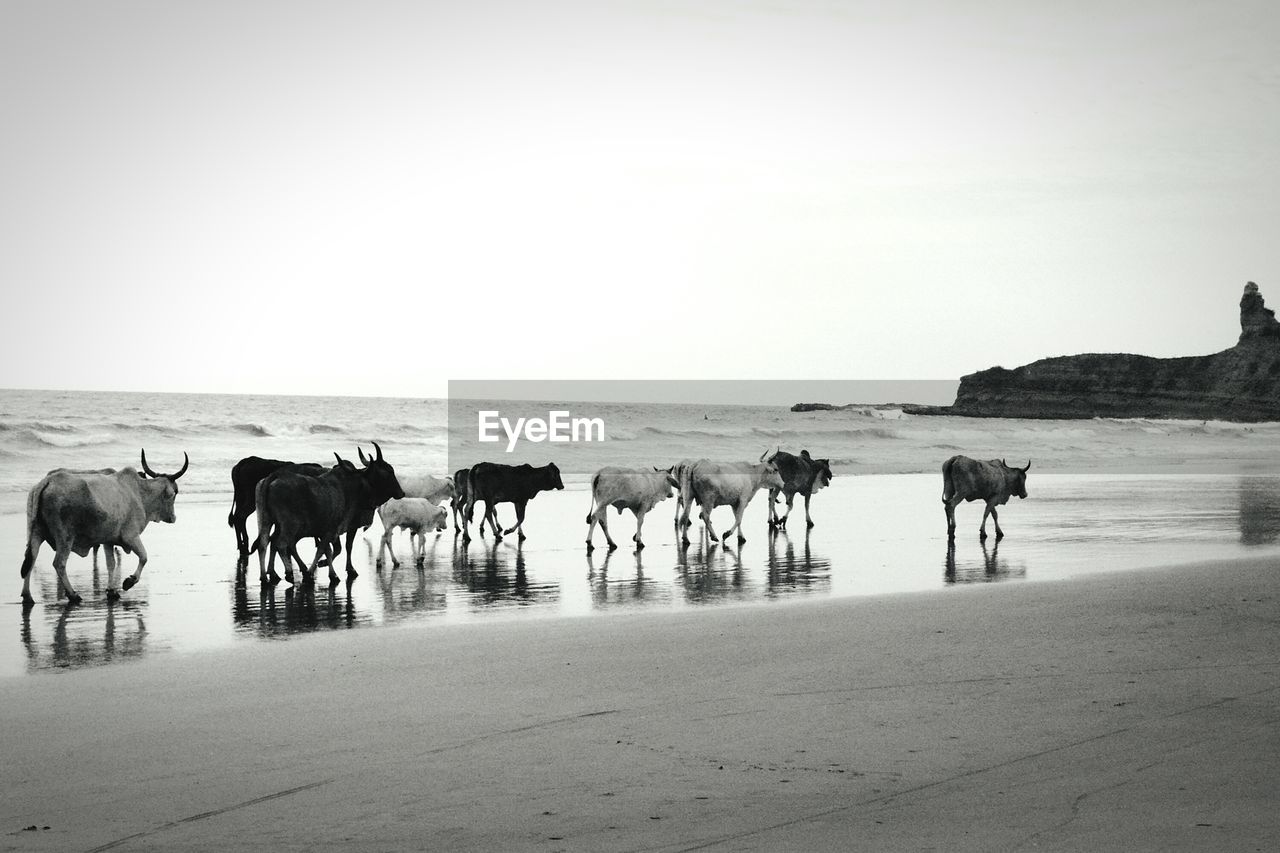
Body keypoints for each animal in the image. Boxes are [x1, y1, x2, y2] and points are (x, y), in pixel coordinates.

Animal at [21, 450, 189, 604]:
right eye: (175, 492)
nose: (173, 518)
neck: (141, 493)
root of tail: (47, 481)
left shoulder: (108, 541)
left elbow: (111, 564)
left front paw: (111, 591)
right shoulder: (131, 536)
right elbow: (144, 557)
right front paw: (128, 582)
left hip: (35, 532)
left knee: (31, 559)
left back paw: (27, 597)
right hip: (65, 537)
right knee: (59, 564)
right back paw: (73, 595)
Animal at [253, 438, 401, 584]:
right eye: (389, 471)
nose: (401, 492)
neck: (349, 489)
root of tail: (271, 477)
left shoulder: (327, 531)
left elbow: (328, 550)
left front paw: (327, 572)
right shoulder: (333, 529)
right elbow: (327, 549)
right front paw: (321, 572)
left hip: (266, 520)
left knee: (265, 543)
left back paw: (267, 576)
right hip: (290, 526)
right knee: (282, 544)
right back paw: (290, 572)